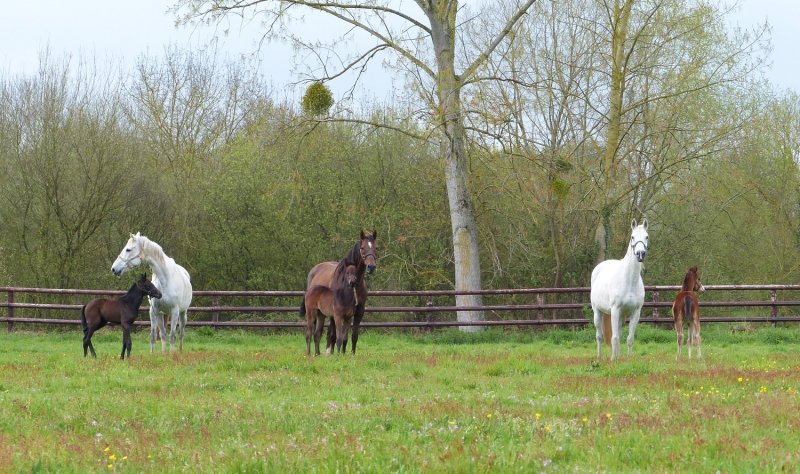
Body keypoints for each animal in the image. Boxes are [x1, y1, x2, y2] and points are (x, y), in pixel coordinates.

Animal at [590, 218, 649, 360]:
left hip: (622, 316)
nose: (640, 254)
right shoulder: (615, 310)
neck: (629, 281)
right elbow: (615, 337)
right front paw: (613, 359)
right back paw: (600, 356)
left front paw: (628, 358)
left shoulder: (635, 312)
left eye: (646, 237)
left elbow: (629, 338)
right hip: (598, 312)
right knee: (599, 336)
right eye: (632, 237)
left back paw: (618, 355)